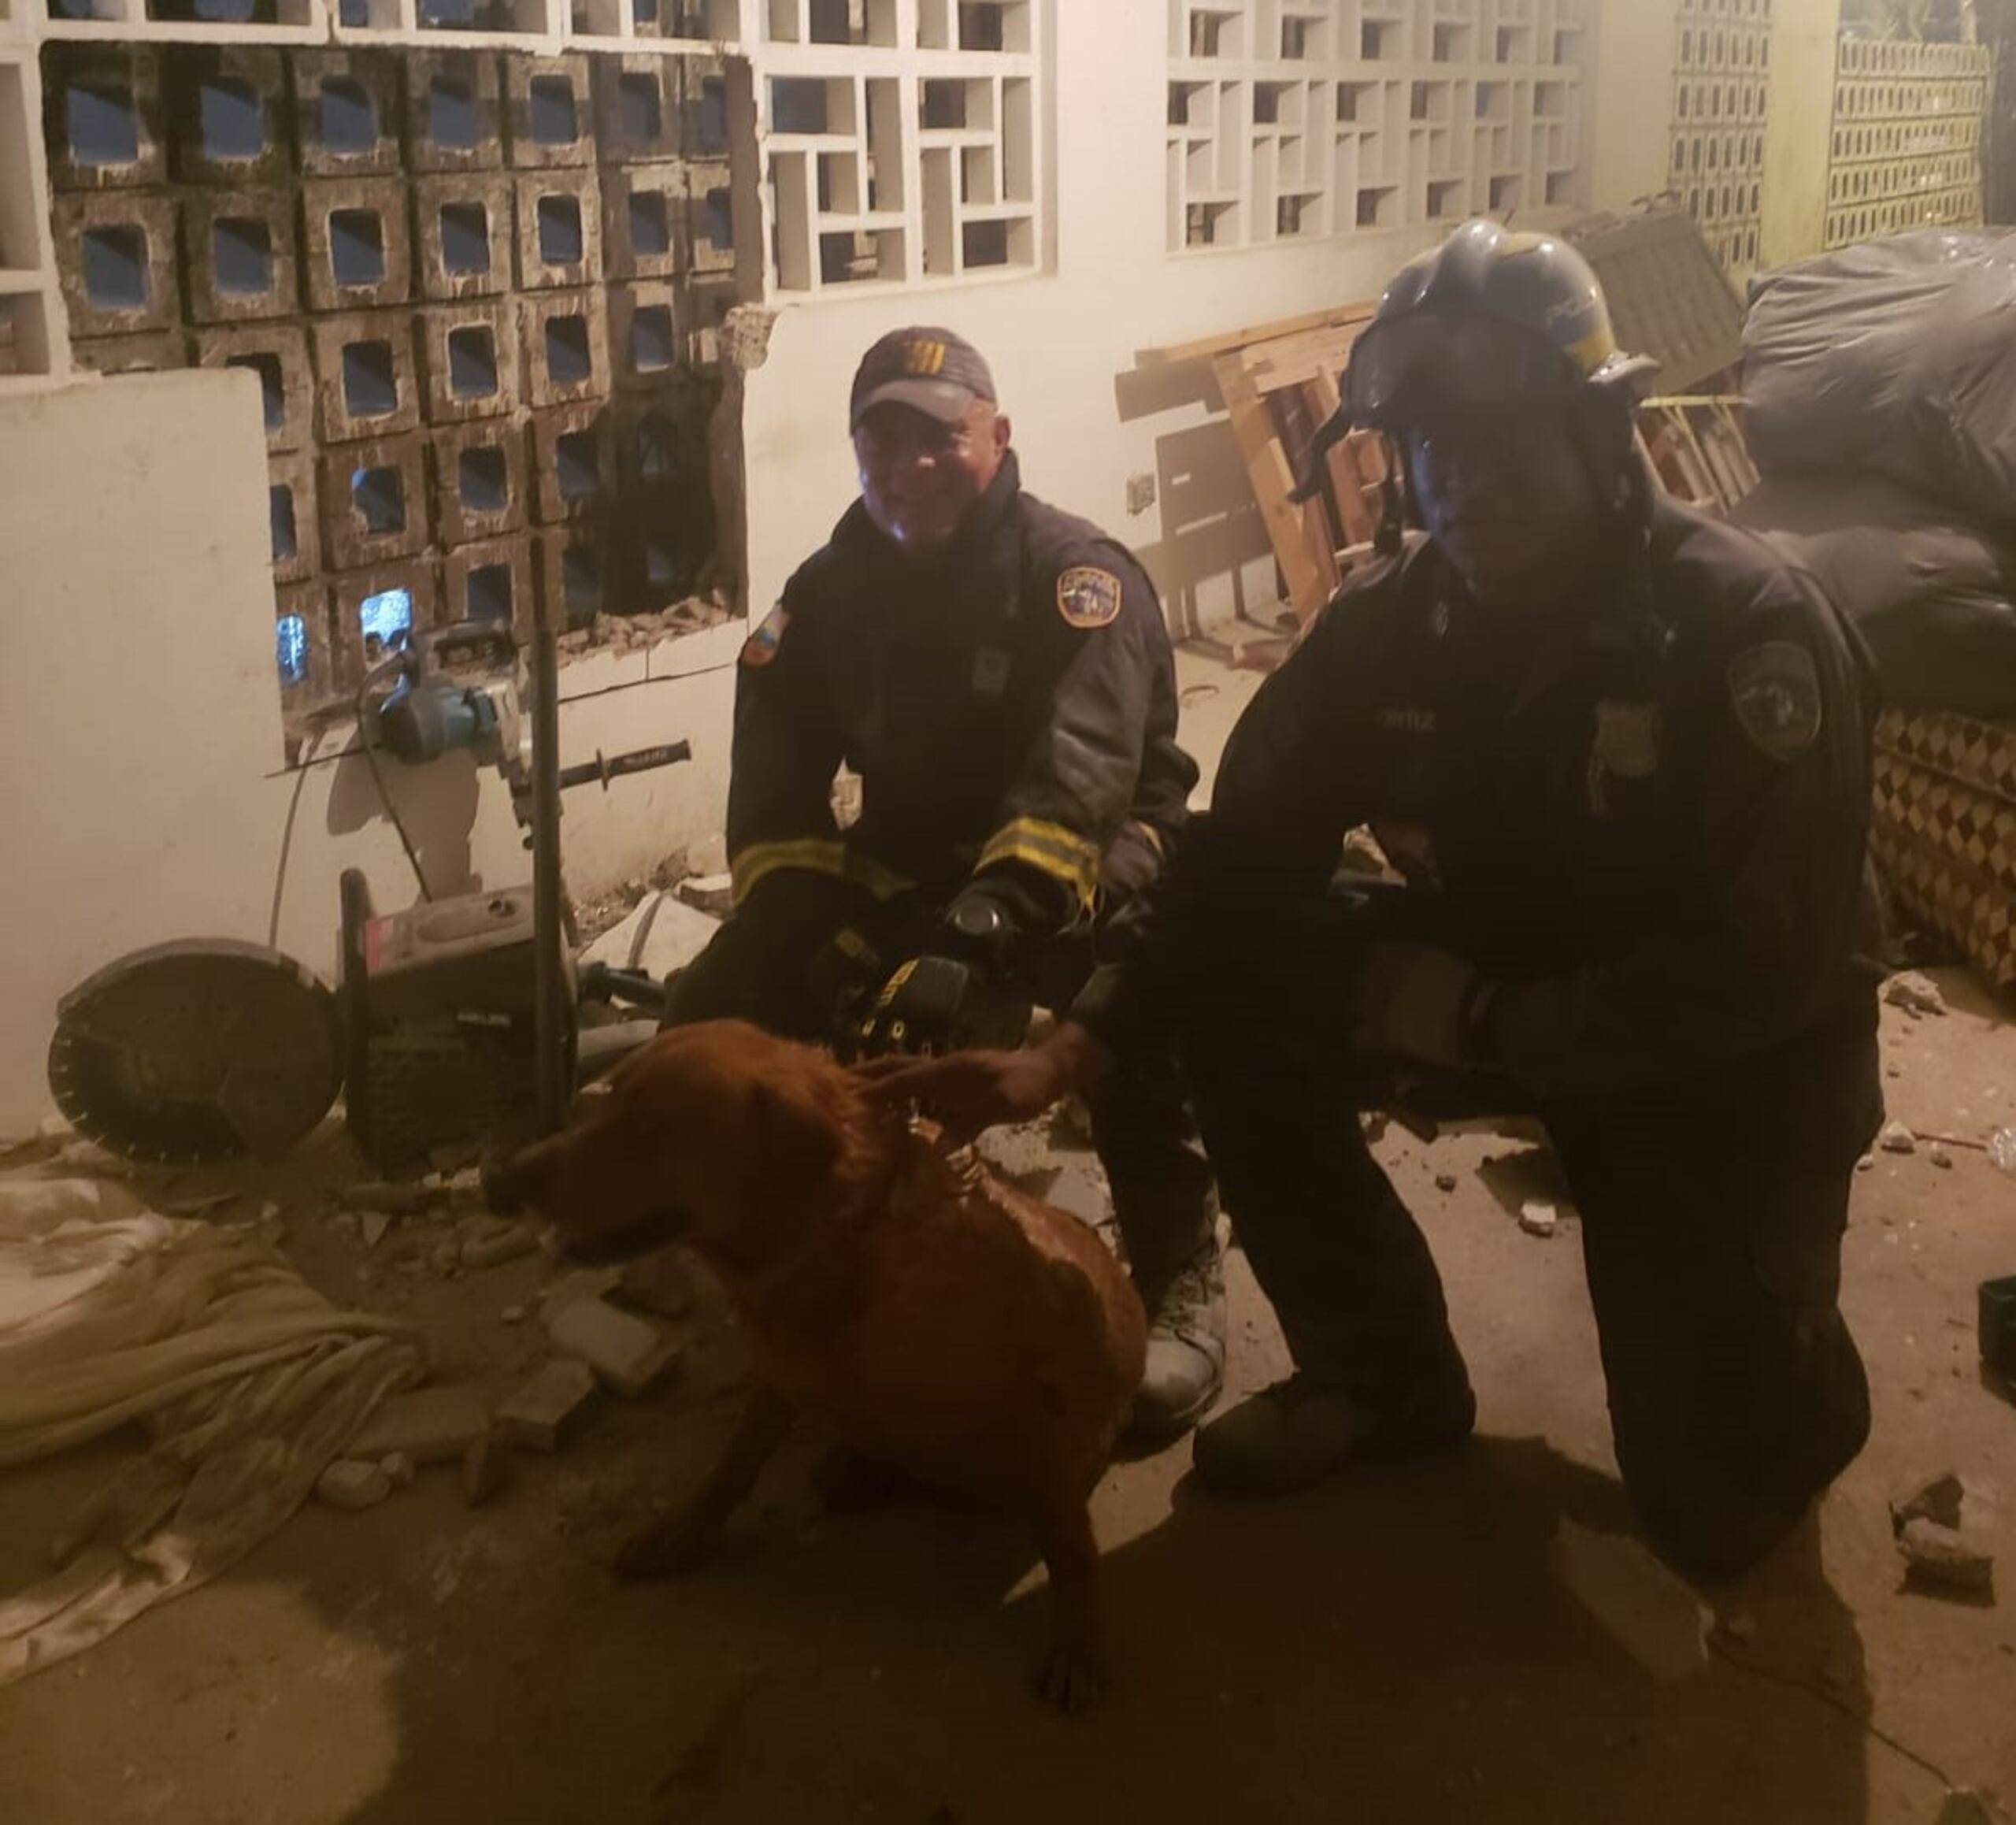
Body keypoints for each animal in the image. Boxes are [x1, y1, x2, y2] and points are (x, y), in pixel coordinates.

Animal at [490, 1016, 1153, 1701]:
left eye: (651, 1125)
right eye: (606, 1102)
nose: (501, 1180)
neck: (841, 1249)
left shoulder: (1037, 1409)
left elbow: (1071, 1548)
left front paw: (1079, 1638)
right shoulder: (780, 1374)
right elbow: (729, 1467)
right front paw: (682, 1533)